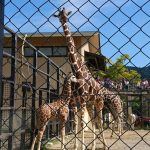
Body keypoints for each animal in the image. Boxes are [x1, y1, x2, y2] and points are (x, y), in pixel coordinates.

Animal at [54, 7, 123, 149]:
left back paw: (105, 143)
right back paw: (96, 145)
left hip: (100, 102)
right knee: (96, 121)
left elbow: (82, 124)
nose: (63, 21)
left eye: (67, 15)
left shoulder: (83, 99)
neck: (78, 71)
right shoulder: (75, 101)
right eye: (59, 15)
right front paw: (76, 146)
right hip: (93, 104)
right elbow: (76, 123)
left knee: (101, 121)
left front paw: (81, 146)